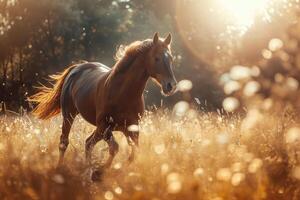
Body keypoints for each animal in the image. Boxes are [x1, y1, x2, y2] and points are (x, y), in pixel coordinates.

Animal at [29, 32, 177, 177]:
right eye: (157, 58)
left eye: (170, 58)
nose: (171, 86)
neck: (123, 93)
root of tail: (76, 68)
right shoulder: (104, 125)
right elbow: (115, 148)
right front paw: (100, 171)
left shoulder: (131, 128)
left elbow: (134, 152)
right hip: (69, 116)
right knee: (64, 142)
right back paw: (62, 168)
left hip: (100, 129)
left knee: (88, 143)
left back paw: (88, 172)